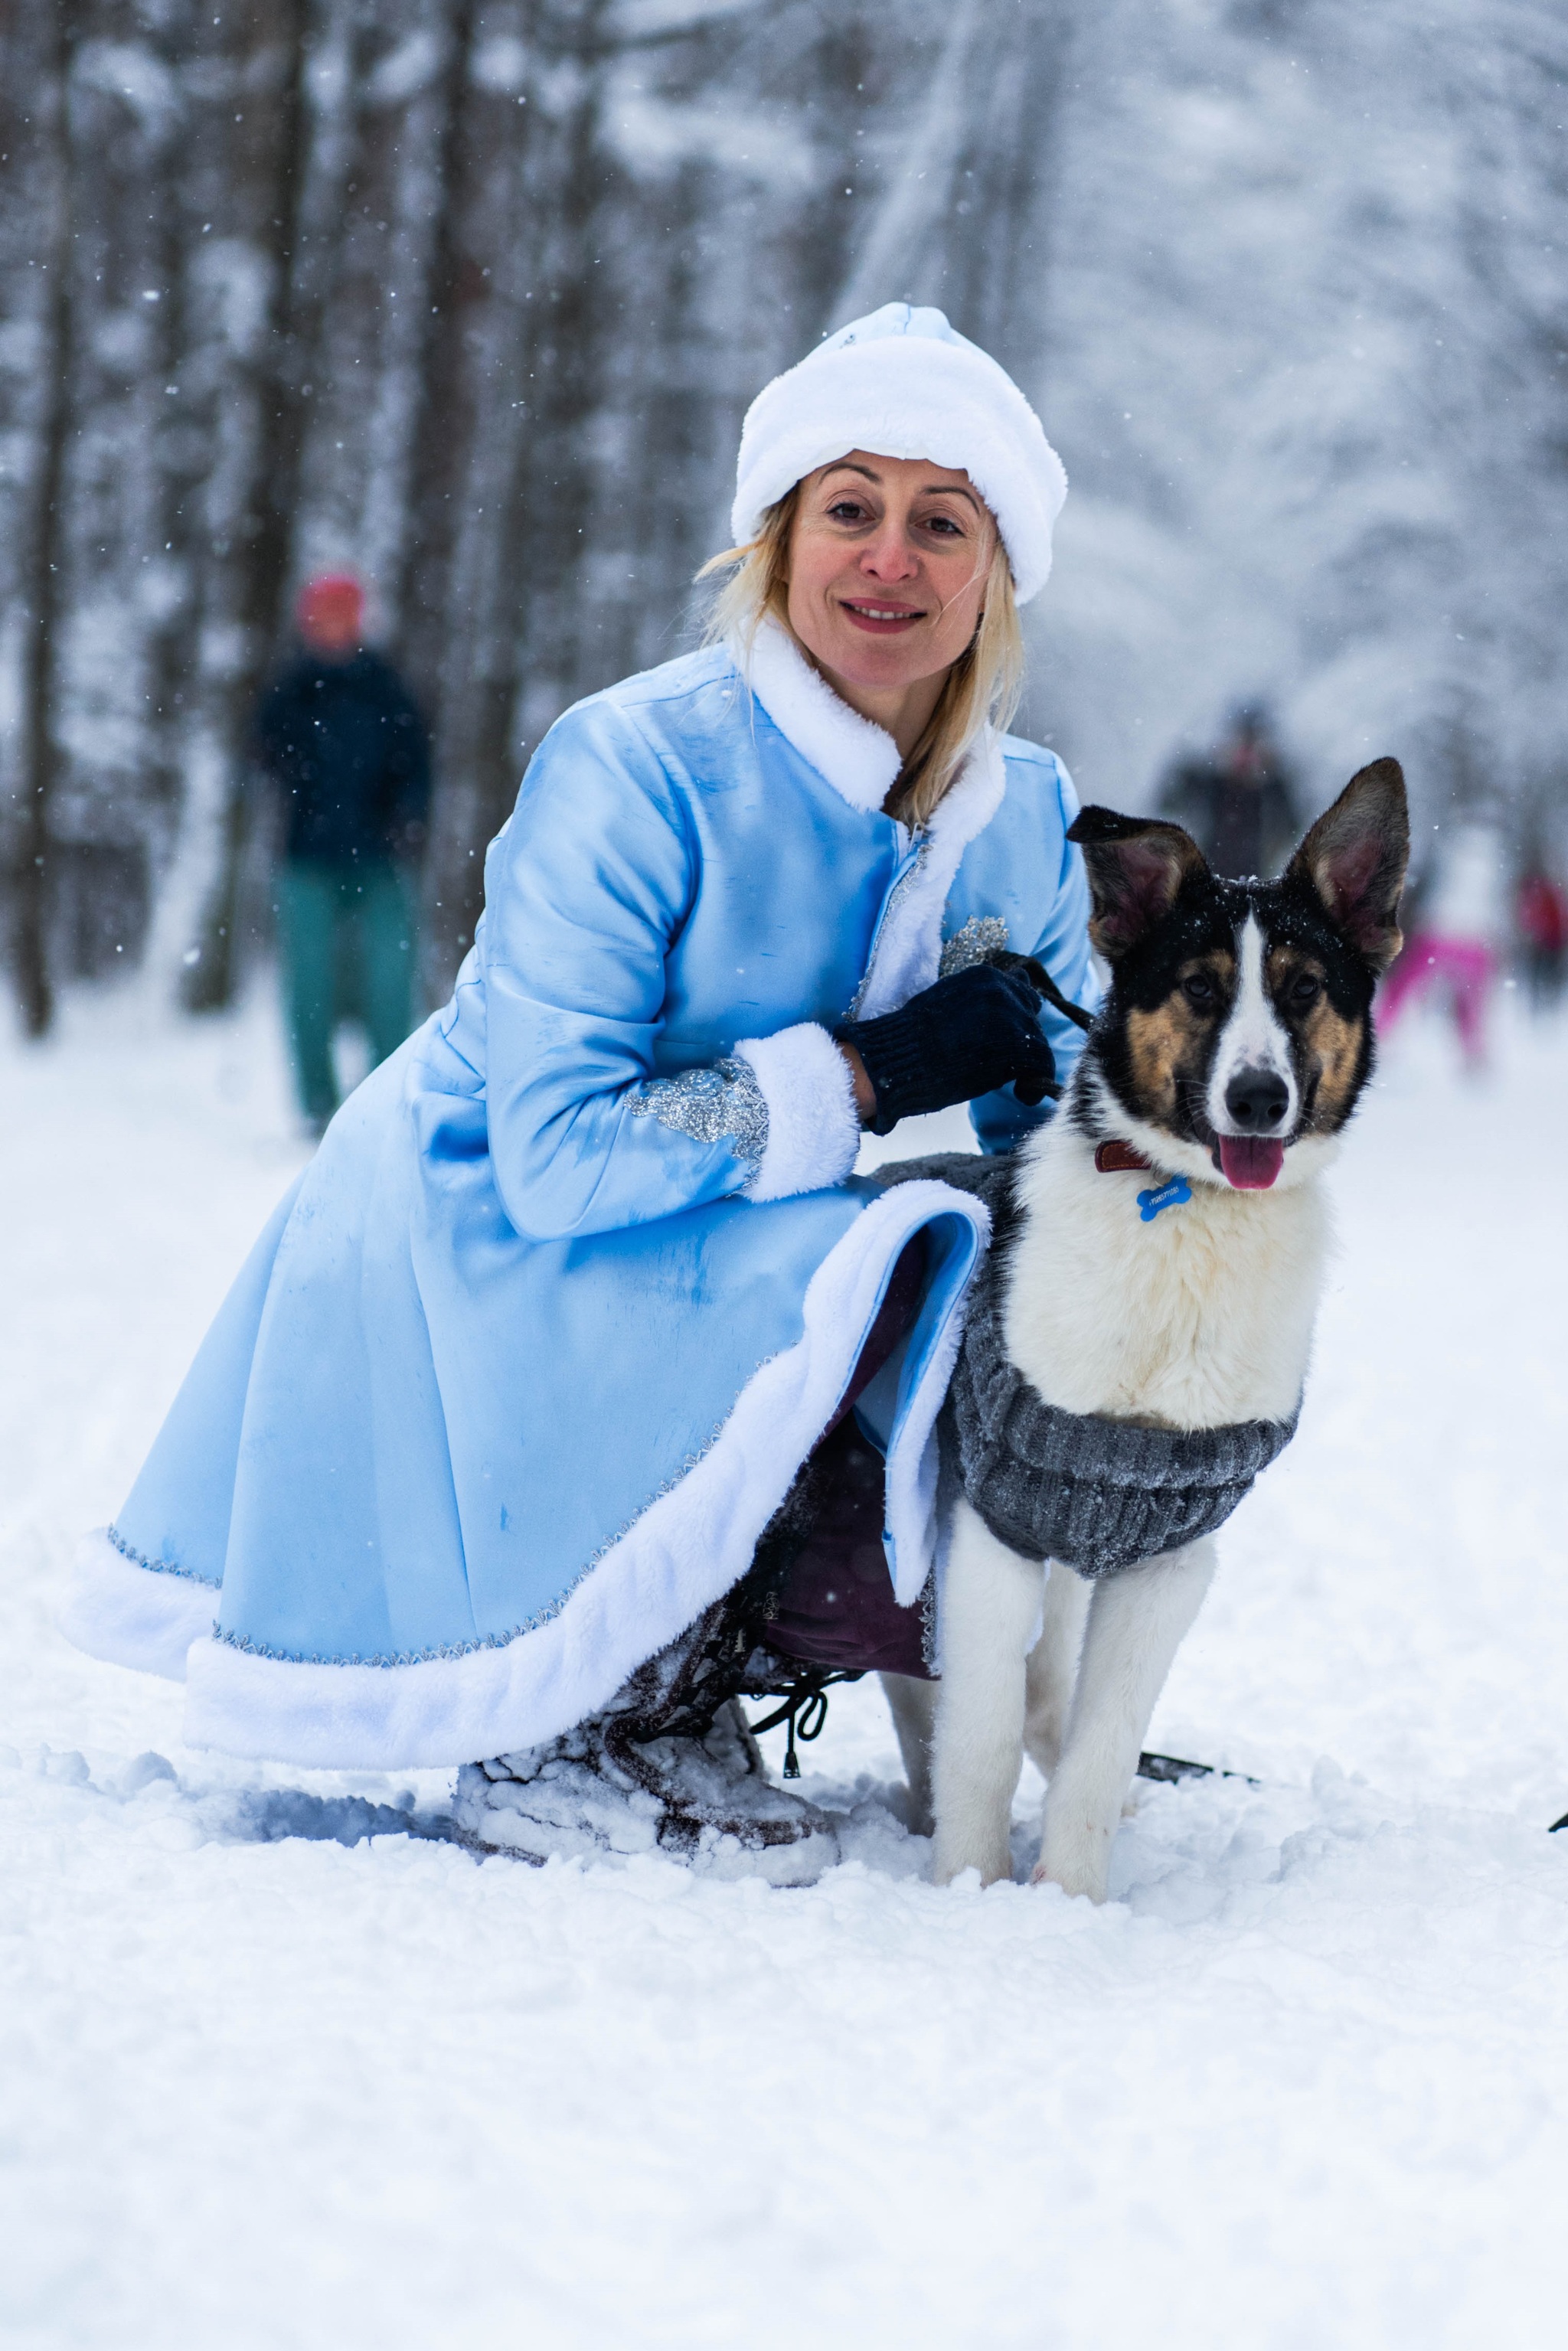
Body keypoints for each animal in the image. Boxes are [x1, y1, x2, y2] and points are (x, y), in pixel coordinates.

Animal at [888, 762, 1419, 1899]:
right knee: (927, 1694)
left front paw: (1067, 1901)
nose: (1258, 1098)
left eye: (1303, 990)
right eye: (1201, 989)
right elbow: (980, 1736)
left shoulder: (1168, 1558)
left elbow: (1099, 1746)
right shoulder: (992, 1523)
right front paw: (971, 1890)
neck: (1187, 1212)